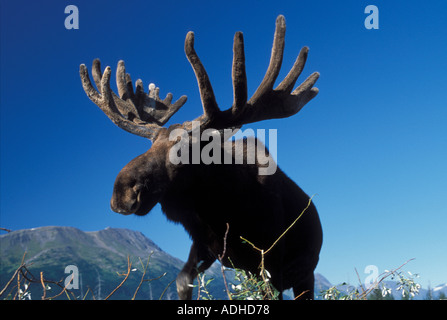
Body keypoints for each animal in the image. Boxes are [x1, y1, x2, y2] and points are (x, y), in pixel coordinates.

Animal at [80, 15, 324, 300]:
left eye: (188, 148)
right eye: (151, 143)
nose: (122, 191)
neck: (223, 208)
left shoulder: (270, 257)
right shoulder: (206, 245)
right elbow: (182, 280)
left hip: (305, 274)